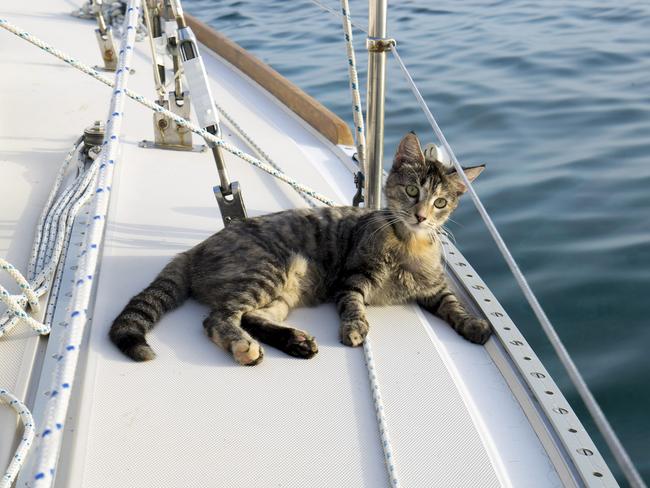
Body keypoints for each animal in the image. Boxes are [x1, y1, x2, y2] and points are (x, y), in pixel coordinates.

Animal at [109, 132, 488, 364]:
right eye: (411, 191)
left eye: (440, 202)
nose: (421, 215)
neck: (409, 243)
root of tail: (197, 248)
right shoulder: (352, 280)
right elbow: (354, 307)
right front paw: (354, 328)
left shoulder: (435, 287)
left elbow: (453, 304)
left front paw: (474, 324)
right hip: (268, 270)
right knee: (219, 318)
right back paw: (243, 346)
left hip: (284, 292)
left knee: (252, 317)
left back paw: (295, 342)